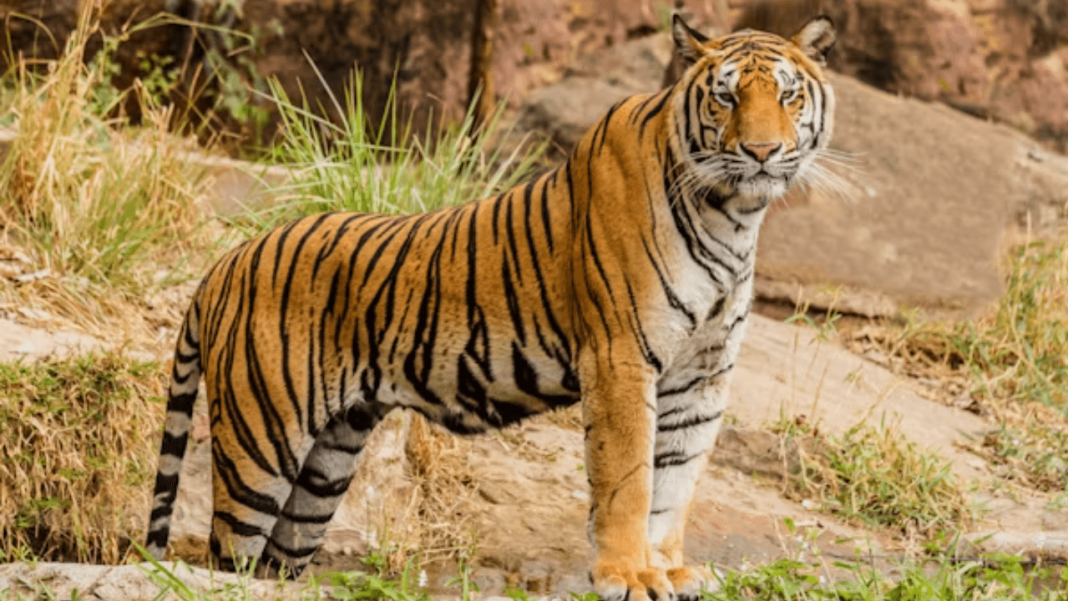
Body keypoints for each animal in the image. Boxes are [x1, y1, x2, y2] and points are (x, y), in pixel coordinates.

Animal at [145, 14, 836, 601]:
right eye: (726, 97)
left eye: (787, 96)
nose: (762, 153)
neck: (733, 214)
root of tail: (225, 262)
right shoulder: (621, 359)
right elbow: (630, 480)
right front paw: (628, 574)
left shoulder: (702, 376)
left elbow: (675, 483)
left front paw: (667, 570)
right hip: (260, 444)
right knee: (225, 555)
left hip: (326, 464)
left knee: (274, 562)